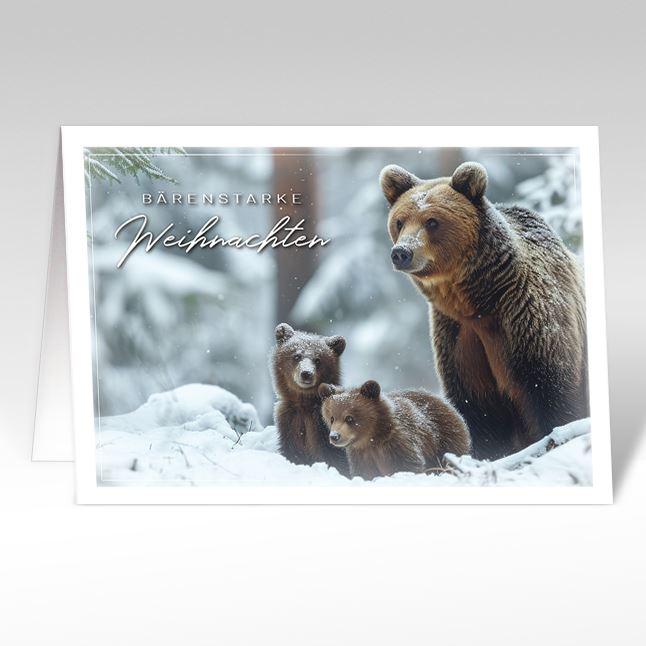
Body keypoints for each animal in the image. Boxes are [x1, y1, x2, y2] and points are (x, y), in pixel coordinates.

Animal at [270, 323, 349, 475]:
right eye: (296, 355)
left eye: (318, 359)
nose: (306, 373)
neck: (304, 404)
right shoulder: (290, 423)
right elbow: (292, 452)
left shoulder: (322, 430)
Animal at [318, 380, 471, 480]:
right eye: (332, 418)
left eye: (349, 418)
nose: (334, 436)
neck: (373, 438)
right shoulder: (361, 454)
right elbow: (364, 473)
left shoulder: (398, 444)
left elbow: (407, 466)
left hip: (446, 441)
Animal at [380, 161, 589, 460]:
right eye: (400, 221)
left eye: (432, 221)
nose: (402, 252)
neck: (479, 301)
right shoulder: (458, 336)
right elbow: (479, 410)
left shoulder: (528, 318)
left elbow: (551, 390)